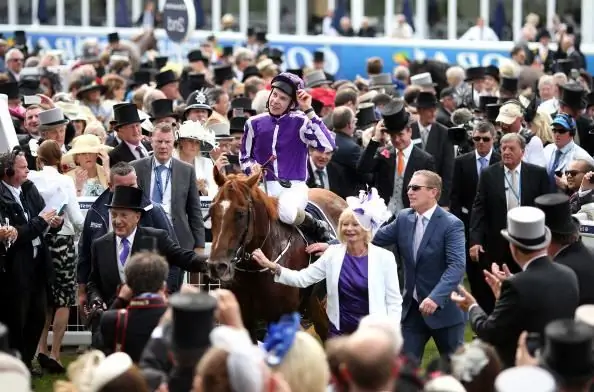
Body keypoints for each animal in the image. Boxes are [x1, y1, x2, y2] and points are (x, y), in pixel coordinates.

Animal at [207, 167, 344, 342]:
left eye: (240, 213)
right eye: (211, 210)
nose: (216, 266)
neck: (253, 272)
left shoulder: (281, 318)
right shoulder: (244, 318)